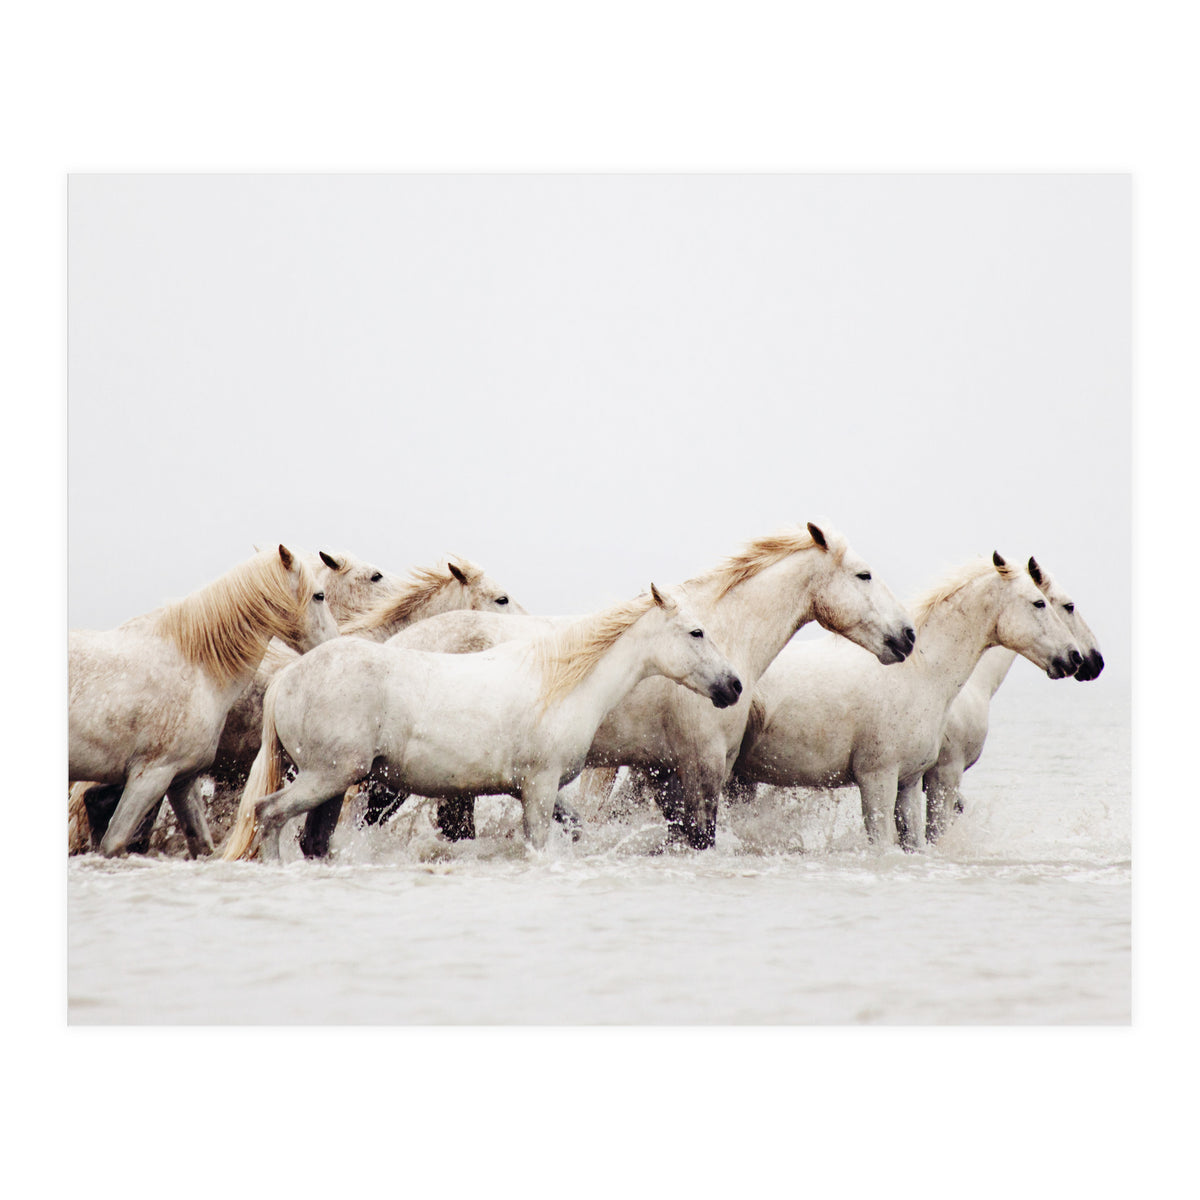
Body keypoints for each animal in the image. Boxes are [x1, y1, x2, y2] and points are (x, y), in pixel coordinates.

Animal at [68, 545, 339, 857]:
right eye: (319, 595)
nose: (336, 642)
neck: (196, 667)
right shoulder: (149, 777)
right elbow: (114, 843)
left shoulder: (180, 780)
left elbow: (201, 844)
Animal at [221, 584, 745, 859]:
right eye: (696, 632)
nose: (734, 686)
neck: (559, 683)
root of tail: (287, 677)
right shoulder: (539, 787)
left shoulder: (536, 790)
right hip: (327, 776)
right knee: (269, 814)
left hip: (334, 783)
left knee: (312, 838)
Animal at [357, 523, 916, 849]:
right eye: (864, 575)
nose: (907, 637)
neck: (721, 633)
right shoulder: (701, 766)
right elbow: (700, 837)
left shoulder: (665, 771)